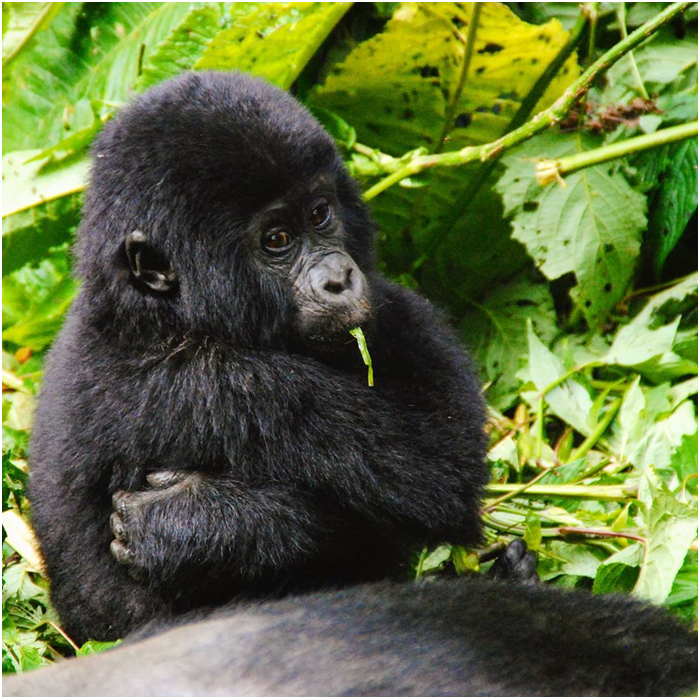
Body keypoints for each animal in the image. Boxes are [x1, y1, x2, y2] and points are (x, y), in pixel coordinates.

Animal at [28, 71, 490, 644]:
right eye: (277, 240)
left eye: (320, 213)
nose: (340, 278)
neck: (151, 315)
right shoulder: (222, 382)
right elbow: (437, 474)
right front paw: (207, 526)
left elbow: (447, 434)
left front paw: (184, 526)